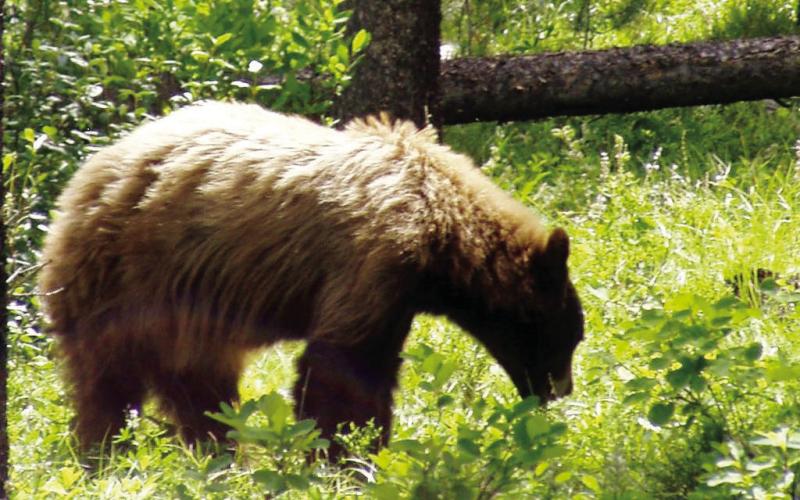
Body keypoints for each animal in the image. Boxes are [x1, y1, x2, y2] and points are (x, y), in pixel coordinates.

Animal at [38, 101, 584, 457]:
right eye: (571, 336)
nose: (561, 390)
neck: (442, 230)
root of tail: (79, 180)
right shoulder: (374, 258)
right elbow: (345, 366)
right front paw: (347, 455)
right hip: (120, 275)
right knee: (107, 380)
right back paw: (104, 453)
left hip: (185, 311)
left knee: (199, 384)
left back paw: (218, 452)